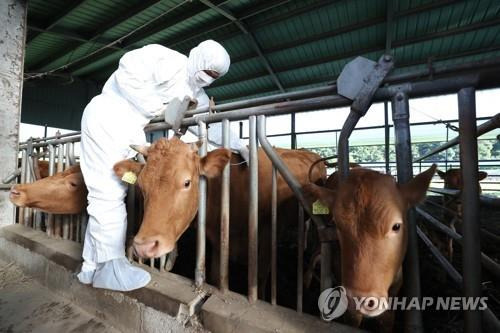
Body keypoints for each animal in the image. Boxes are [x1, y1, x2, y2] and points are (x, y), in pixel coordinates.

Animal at [112, 136, 324, 292]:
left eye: (187, 182)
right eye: (141, 185)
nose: (144, 246)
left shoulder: (266, 238)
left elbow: (261, 279)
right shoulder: (218, 244)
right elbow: (216, 277)